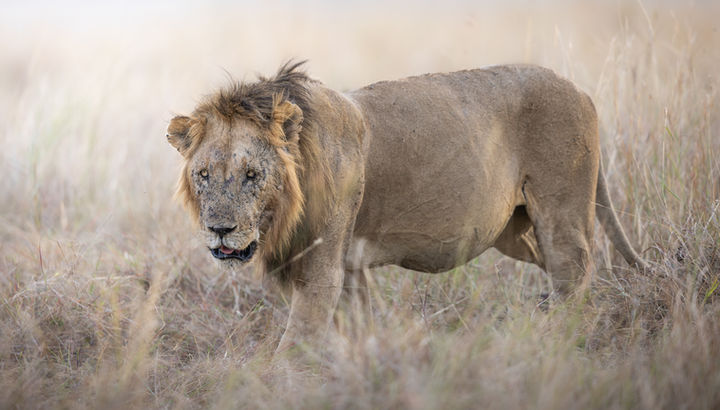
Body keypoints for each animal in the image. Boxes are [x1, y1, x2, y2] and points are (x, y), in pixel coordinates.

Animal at [166, 61, 648, 352]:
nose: (220, 230)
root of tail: (579, 89)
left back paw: (556, 333)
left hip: (562, 212)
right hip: (512, 229)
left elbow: (295, 342)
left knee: (575, 270)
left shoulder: (322, 269)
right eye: (203, 175)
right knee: (560, 267)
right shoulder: (349, 266)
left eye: (251, 175)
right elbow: (357, 324)